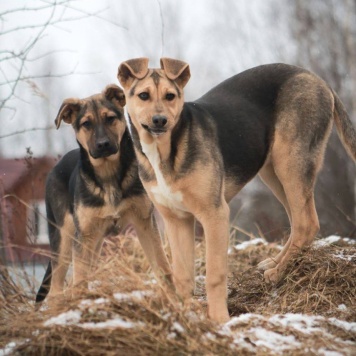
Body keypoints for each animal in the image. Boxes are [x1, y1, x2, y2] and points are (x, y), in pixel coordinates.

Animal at [35, 85, 172, 304]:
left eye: (110, 118)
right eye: (86, 124)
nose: (103, 144)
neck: (108, 174)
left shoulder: (145, 223)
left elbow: (162, 265)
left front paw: (177, 300)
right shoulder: (83, 236)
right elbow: (79, 280)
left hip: (95, 241)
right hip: (64, 236)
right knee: (56, 287)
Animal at [117, 59, 356, 322]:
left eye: (170, 96)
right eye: (143, 95)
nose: (160, 120)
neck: (166, 150)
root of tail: (318, 80)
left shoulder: (215, 214)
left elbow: (214, 274)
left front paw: (219, 319)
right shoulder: (177, 220)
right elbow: (182, 276)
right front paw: (186, 314)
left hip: (291, 161)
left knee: (307, 223)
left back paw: (277, 273)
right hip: (273, 170)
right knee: (297, 221)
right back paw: (274, 263)